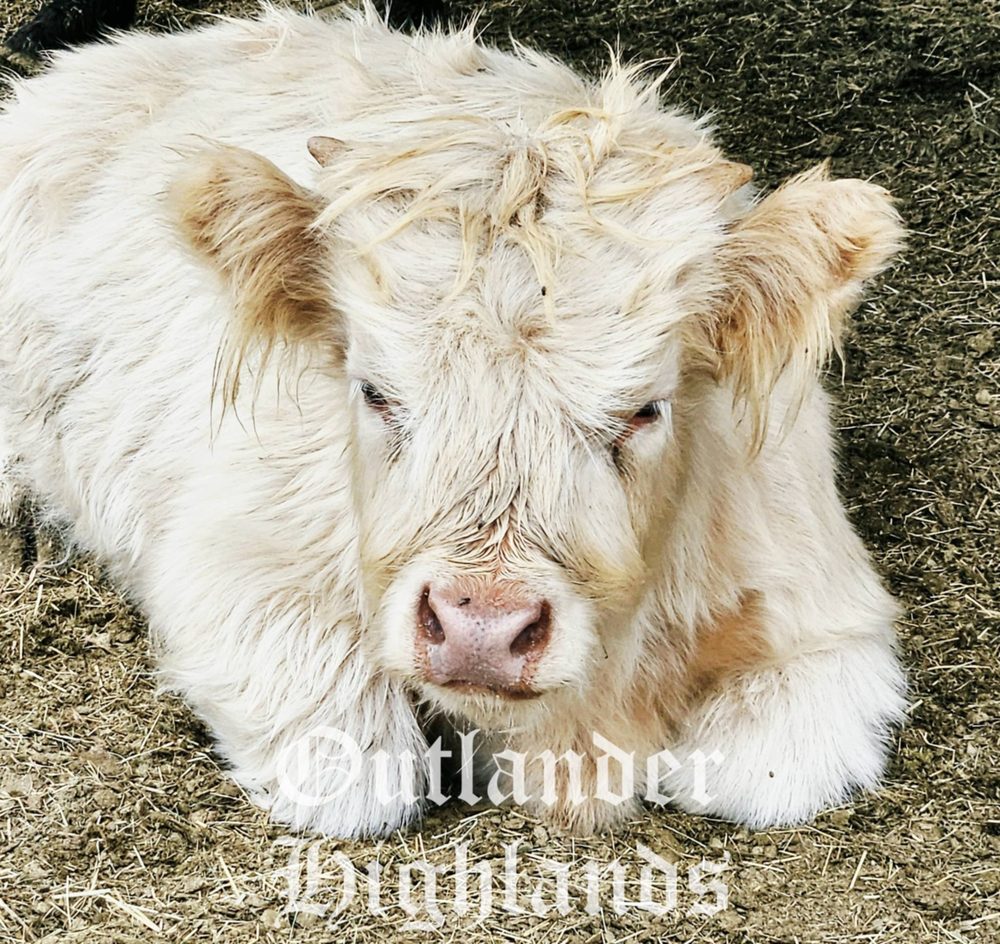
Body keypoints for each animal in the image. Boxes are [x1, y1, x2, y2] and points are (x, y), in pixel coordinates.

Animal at [0, 4, 906, 837]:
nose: (482, 631)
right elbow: (359, 778)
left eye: (645, 408)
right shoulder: (244, 566)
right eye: (374, 392)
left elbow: (766, 774)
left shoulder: (822, 609)